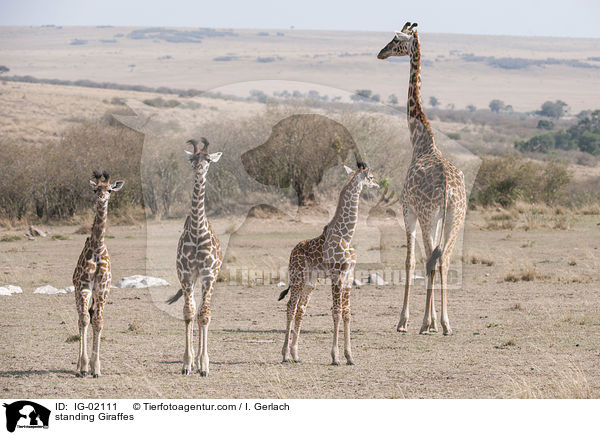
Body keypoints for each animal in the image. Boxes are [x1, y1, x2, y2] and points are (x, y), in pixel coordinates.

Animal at [378, 23, 466, 338]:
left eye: (395, 40)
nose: (381, 53)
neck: (420, 141)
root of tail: (449, 190)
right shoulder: (434, 217)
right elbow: (431, 260)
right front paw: (435, 321)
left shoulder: (408, 211)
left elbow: (409, 260)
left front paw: (404, 320)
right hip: (454, 217)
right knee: (444, 258)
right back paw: (446, 324)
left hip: (428, 215)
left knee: (430, 258)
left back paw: (425, 322)